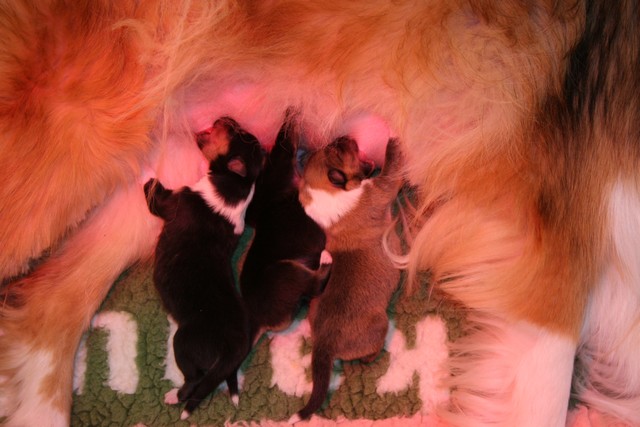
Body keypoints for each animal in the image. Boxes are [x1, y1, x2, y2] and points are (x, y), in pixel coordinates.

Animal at [143, 116, 264, 419]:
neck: (238, 185)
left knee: (194, 381)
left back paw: (174, 397)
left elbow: (154, 195)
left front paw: (150, 174)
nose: (225, 118)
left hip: (183, 343)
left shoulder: (172, 202)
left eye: (234, 132)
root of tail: (234, 348)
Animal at [240, 110, 331, 345]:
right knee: (316, 283)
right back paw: (326, 259)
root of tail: (257, 320)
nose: (291, 110)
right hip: (287, 271)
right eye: (283, 133)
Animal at [291, 136, 404, 421]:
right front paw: (392, 145)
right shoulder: (380, 189)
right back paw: (372, 357)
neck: (327, 195)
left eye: (332, 146)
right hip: (379, 324)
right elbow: (391, 172)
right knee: (369, 351)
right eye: (340, 149)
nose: (346, 137)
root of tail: (323, 345)